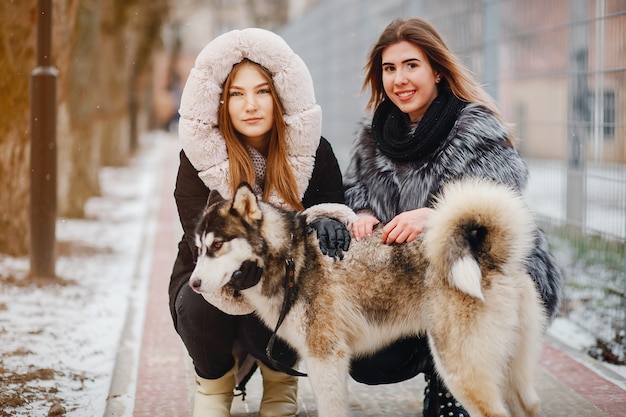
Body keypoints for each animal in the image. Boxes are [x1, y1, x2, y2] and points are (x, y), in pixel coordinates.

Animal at [188, 178, 544, 416]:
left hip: (459, 365)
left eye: (217, 245)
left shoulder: (326, 359)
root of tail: (488, 255)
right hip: (509, 373)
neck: (292, 259)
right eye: (199, 248)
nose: (193, 284)